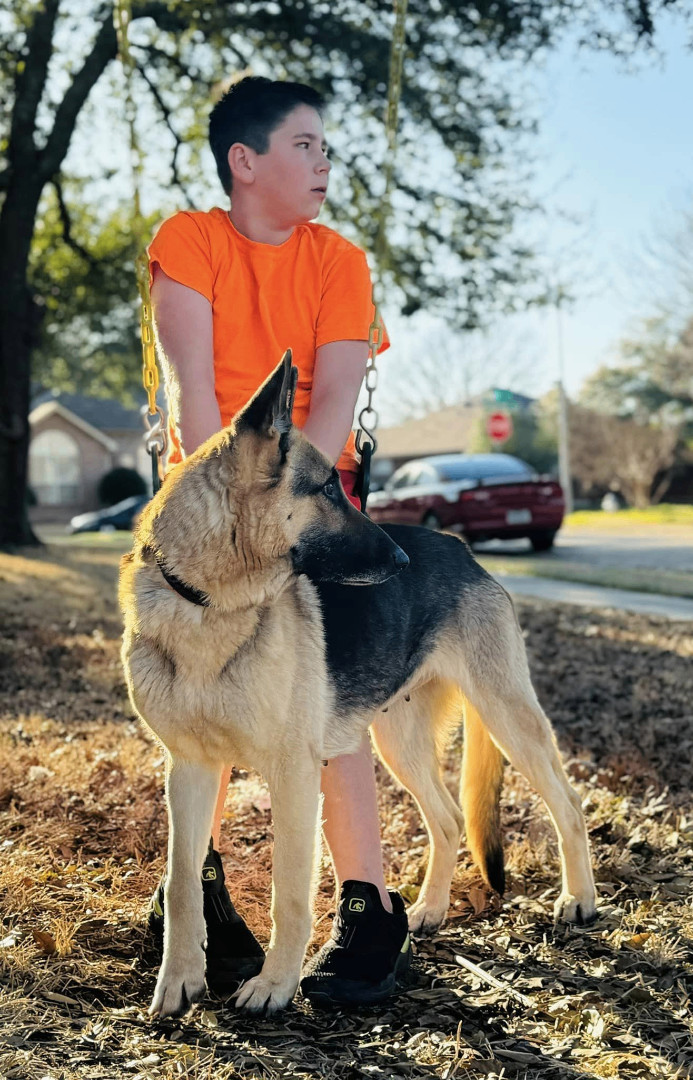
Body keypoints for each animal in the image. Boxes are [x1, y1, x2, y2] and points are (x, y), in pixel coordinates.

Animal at [119, 349, 595, 1015]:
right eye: (325, 489)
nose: (399, 560)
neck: (208, 607)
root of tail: (462, 550)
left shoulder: (294, 774)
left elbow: (289, 890)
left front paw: (275, 984)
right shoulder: (188, 769)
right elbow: (184, 881)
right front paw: (180, 979)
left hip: (507, 719)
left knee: (568, 805)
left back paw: (579, 900)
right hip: (399, 743)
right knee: (449, 819)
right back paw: (428, 910)